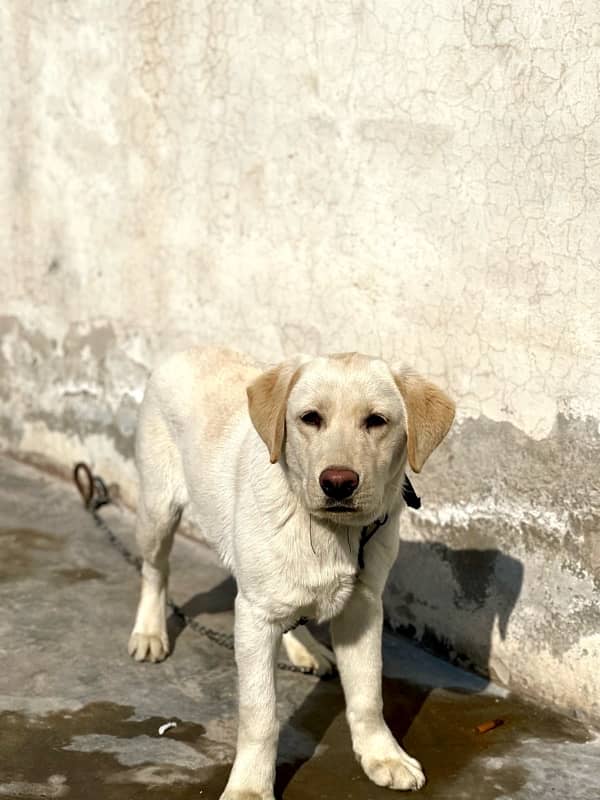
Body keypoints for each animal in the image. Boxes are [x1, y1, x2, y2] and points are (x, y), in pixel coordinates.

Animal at [127, 346, 454, 796]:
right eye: (310, 418)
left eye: (376, 421)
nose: (338, 483)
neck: (327, 530)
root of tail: (189, 347)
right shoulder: (254, 618)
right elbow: (260, 715)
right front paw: (250, 788)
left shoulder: (363, 607)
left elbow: (368, 694)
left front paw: (382, 755)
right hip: (158, 512)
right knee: (154, 572)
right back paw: (149, 632)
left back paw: (306, 649)